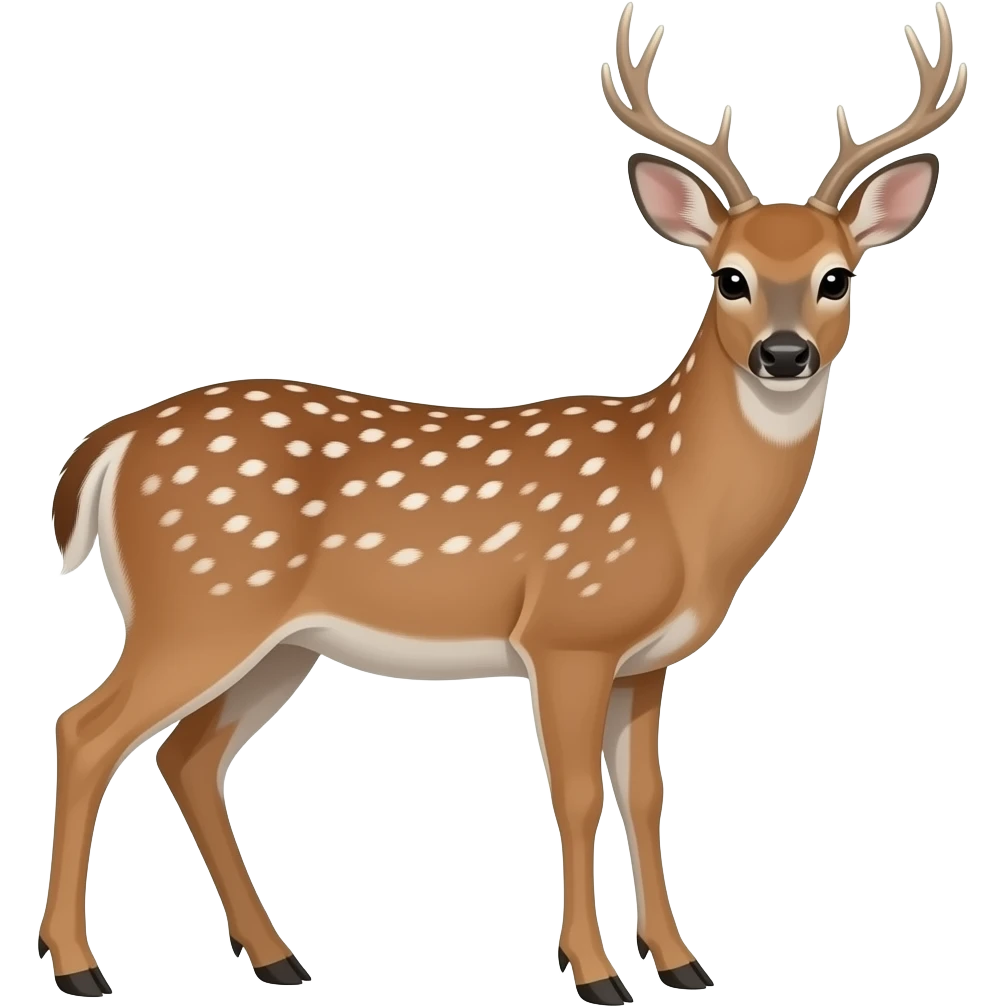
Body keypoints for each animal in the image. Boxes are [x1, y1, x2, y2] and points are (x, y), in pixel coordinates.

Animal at [41, 4, 967, 1003]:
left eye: (838, 276)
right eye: (728, 276)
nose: (785, 354)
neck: (675, 501)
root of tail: (113, 442)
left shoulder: (645, 661)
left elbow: (645, 796)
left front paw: (681, 963)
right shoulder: (566, 629)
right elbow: (574, 793)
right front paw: (596, 972)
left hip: (278, 640)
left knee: (189, 755)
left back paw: (277, 955)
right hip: (200, 601)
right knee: (87, 728)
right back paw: (80, 964)